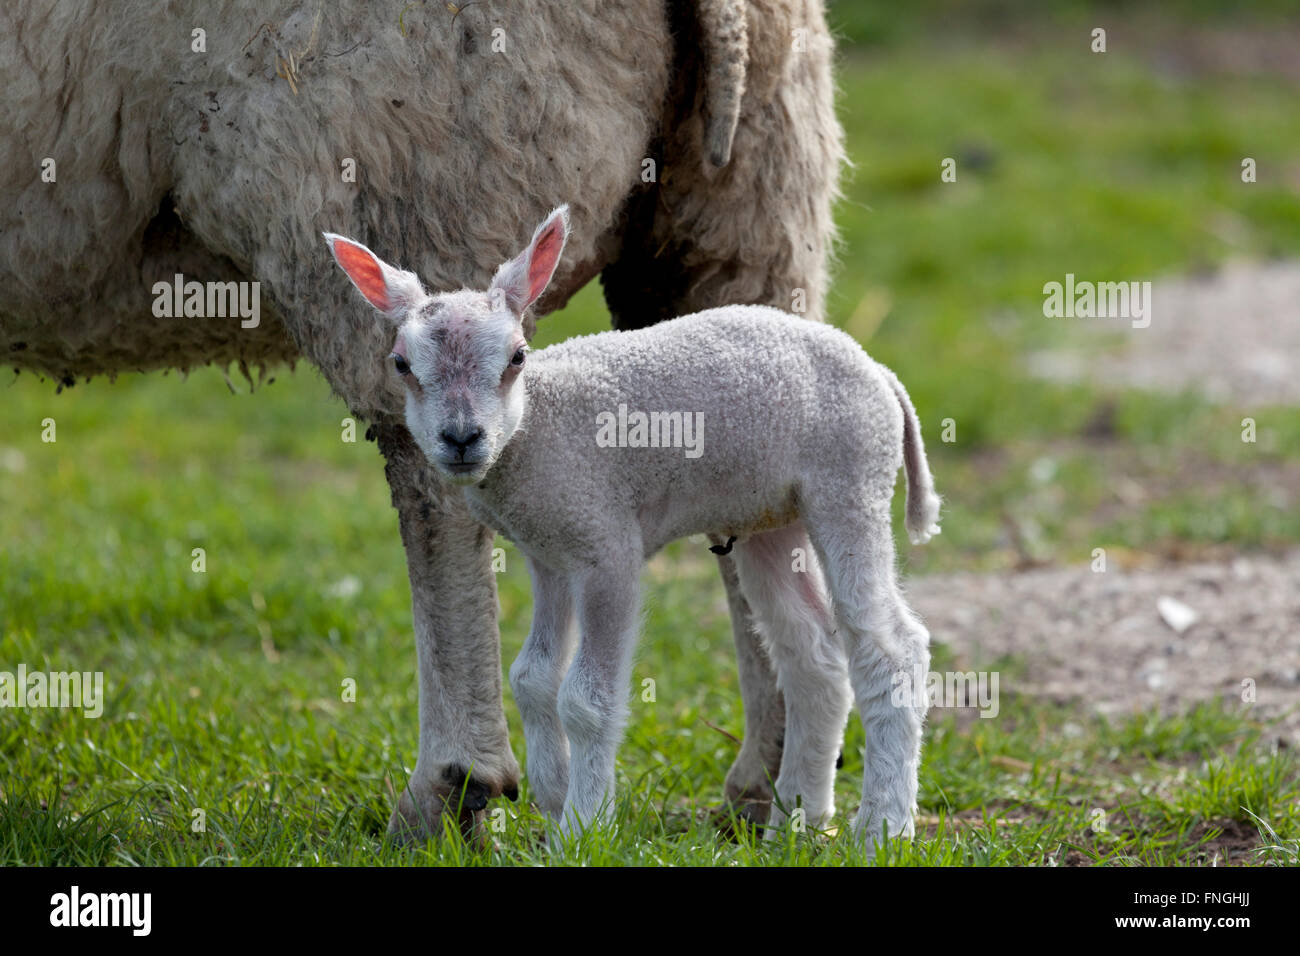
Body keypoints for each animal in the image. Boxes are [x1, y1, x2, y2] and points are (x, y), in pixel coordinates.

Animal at [323, 204, 935, 842]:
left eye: (517, 357)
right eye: (401, 364)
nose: (462, 438)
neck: (535, 428)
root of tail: (881, 374)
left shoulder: (605, 542)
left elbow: (585, 700)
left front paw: (582, 829)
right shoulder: (548, 552)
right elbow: (531, 677)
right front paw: (556, 798)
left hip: (850, 478)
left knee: (892, 648)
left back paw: (883, 826)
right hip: (770, 516)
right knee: (812, 655)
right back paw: (795, 825)